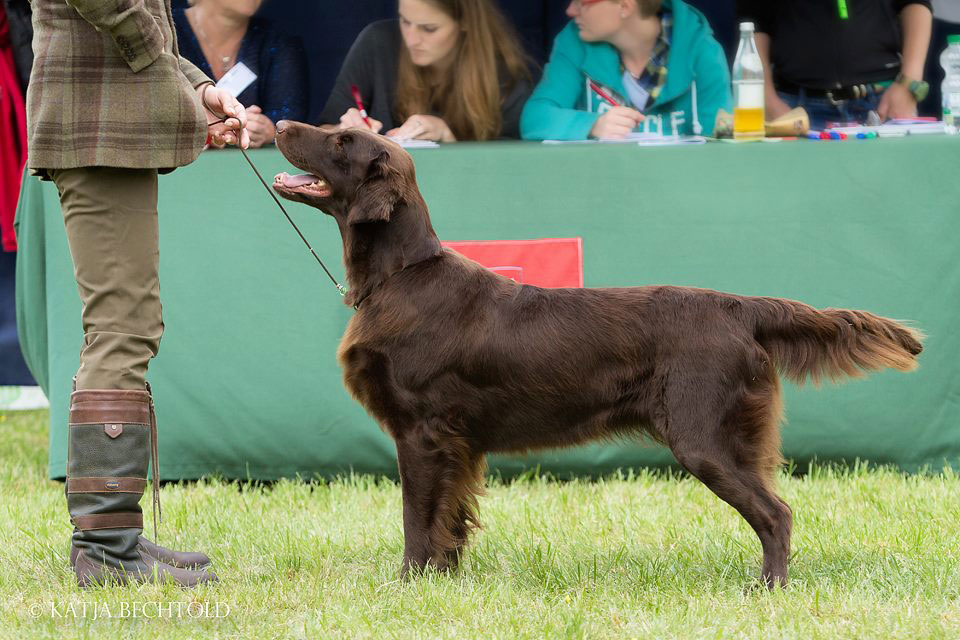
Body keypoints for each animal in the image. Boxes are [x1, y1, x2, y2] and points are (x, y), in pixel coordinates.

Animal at [270, 120, 924, 584]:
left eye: (340, 140)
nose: (276, 122)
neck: (400, 276)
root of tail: (740, 307)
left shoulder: (422, 431)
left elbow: (417, 518)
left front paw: (410, 583)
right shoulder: (458, 443)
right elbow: (450, 520)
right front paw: (444, 580)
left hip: (705, 437)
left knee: (777, 514)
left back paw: (768, 589)